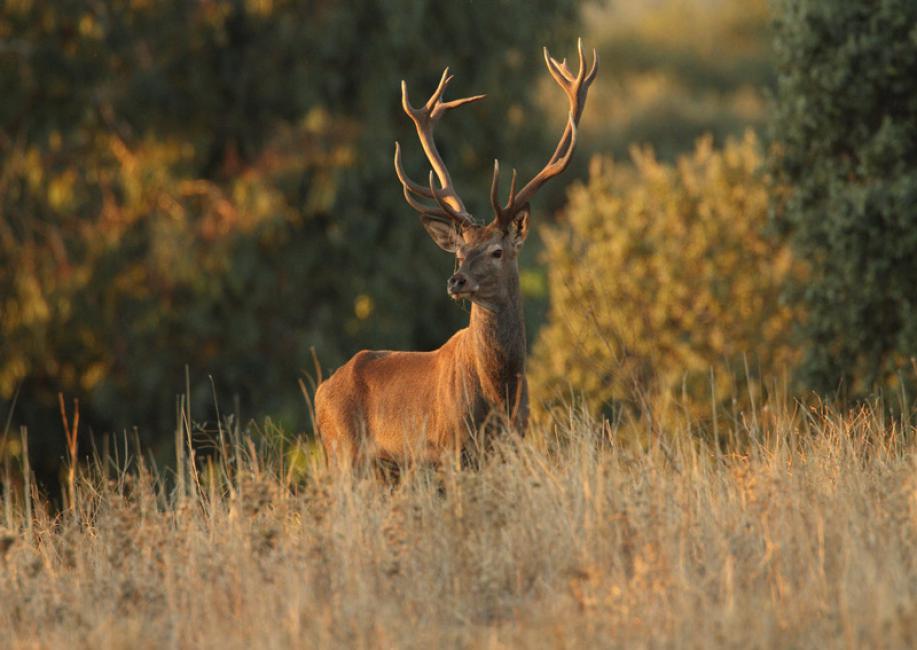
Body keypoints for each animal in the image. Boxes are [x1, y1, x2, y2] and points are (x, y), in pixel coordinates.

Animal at [318, 40, 596, 466]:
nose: (456, 281)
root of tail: (319, 395)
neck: (500, 395)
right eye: (461, 251)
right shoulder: (450, 445)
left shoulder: (512, 441)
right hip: (344, 453)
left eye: (497, 251)